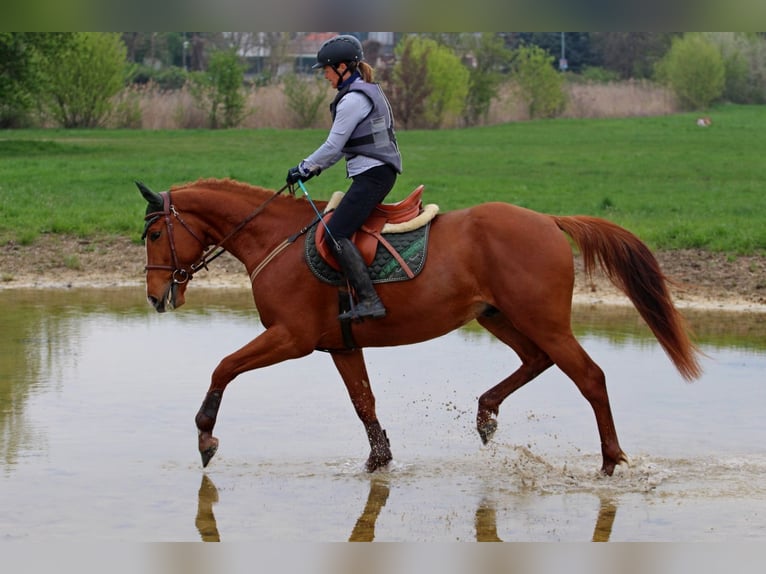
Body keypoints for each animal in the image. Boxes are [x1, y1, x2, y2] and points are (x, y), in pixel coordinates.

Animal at [138, 178, 702, 476]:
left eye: (153, 234)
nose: (154, 296)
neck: (274, 237)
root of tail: (548, 220)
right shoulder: (339, 346)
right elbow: (363, 401)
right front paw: (379, 460)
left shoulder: (291, 338)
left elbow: (224, 366)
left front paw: (205, 435)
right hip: (498, 316)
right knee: (535, 360)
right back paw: (486, 415)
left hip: (542, 320)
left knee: (589, 377)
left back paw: (610, 462)